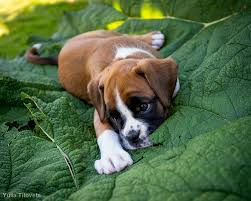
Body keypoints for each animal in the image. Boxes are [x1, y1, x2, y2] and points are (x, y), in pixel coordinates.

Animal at [25, 29, 179, 174]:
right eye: (114, 117)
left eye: (143, 106)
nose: (132, 137)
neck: (121, 57)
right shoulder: (100, 110)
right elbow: (104, 131)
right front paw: (112, 156)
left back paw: (151, 38)